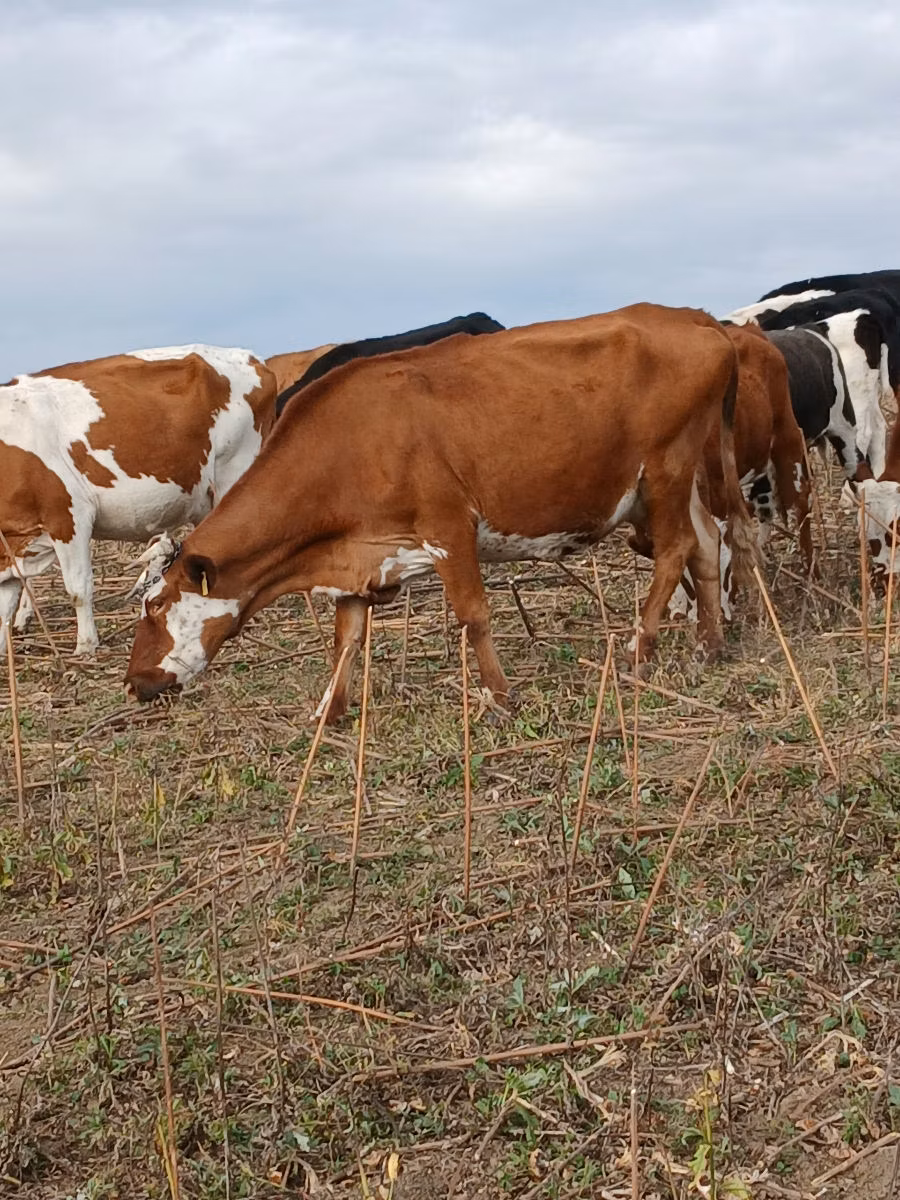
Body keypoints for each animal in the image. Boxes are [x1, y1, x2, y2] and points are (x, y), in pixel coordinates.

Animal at [0, 345, 275, 656]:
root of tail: (252, 357)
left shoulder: (69, 515)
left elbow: (78, 588)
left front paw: (86, 645)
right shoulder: (12, 546)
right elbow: (7, 602)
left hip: (236, 470)